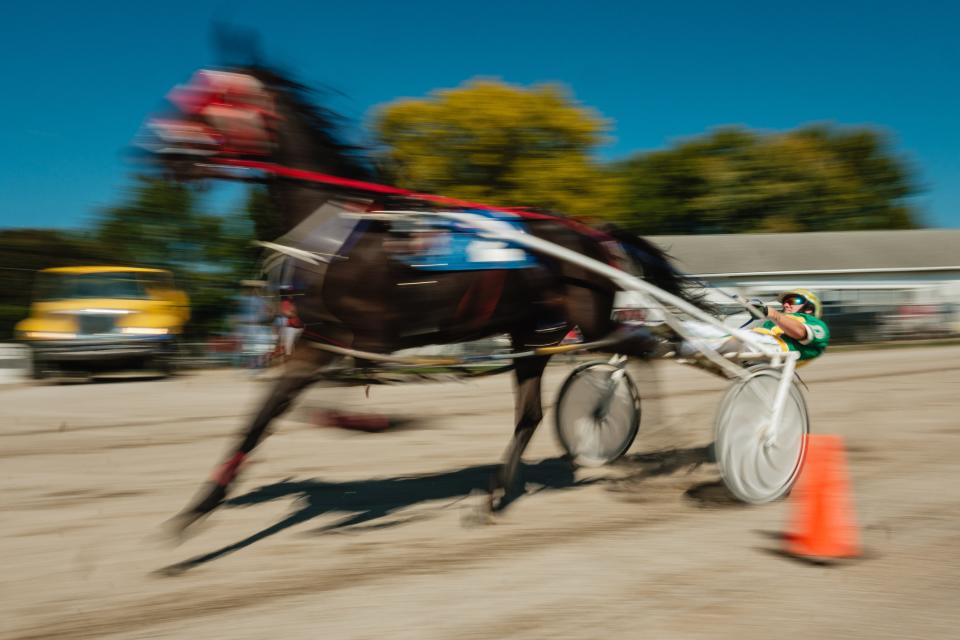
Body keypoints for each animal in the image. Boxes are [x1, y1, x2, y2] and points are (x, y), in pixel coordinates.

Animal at [141, 63, 696, 528]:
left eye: (214, 98)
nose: (166, 154)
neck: (344, 230)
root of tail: (592, 232)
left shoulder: (368, 339)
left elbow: (329, 406)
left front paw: (384, 425)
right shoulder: (317, 340)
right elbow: (264, 417)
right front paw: (200, 507)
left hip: (588, 318)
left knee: (643, 346)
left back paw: (650, 440)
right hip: (534, 333)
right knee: (535, 411)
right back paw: (496, 493)